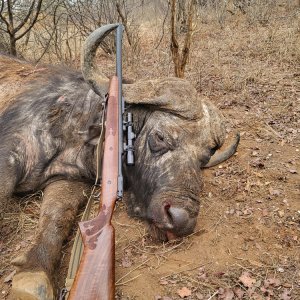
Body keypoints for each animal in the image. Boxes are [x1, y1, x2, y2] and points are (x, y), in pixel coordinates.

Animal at [0, 24, 239, 298]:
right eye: (160, 136)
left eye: (204, 158)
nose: (181, 219)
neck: (78, 126)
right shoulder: (9, 153)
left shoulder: (69, 181)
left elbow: (57, 218)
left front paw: (34, 275)